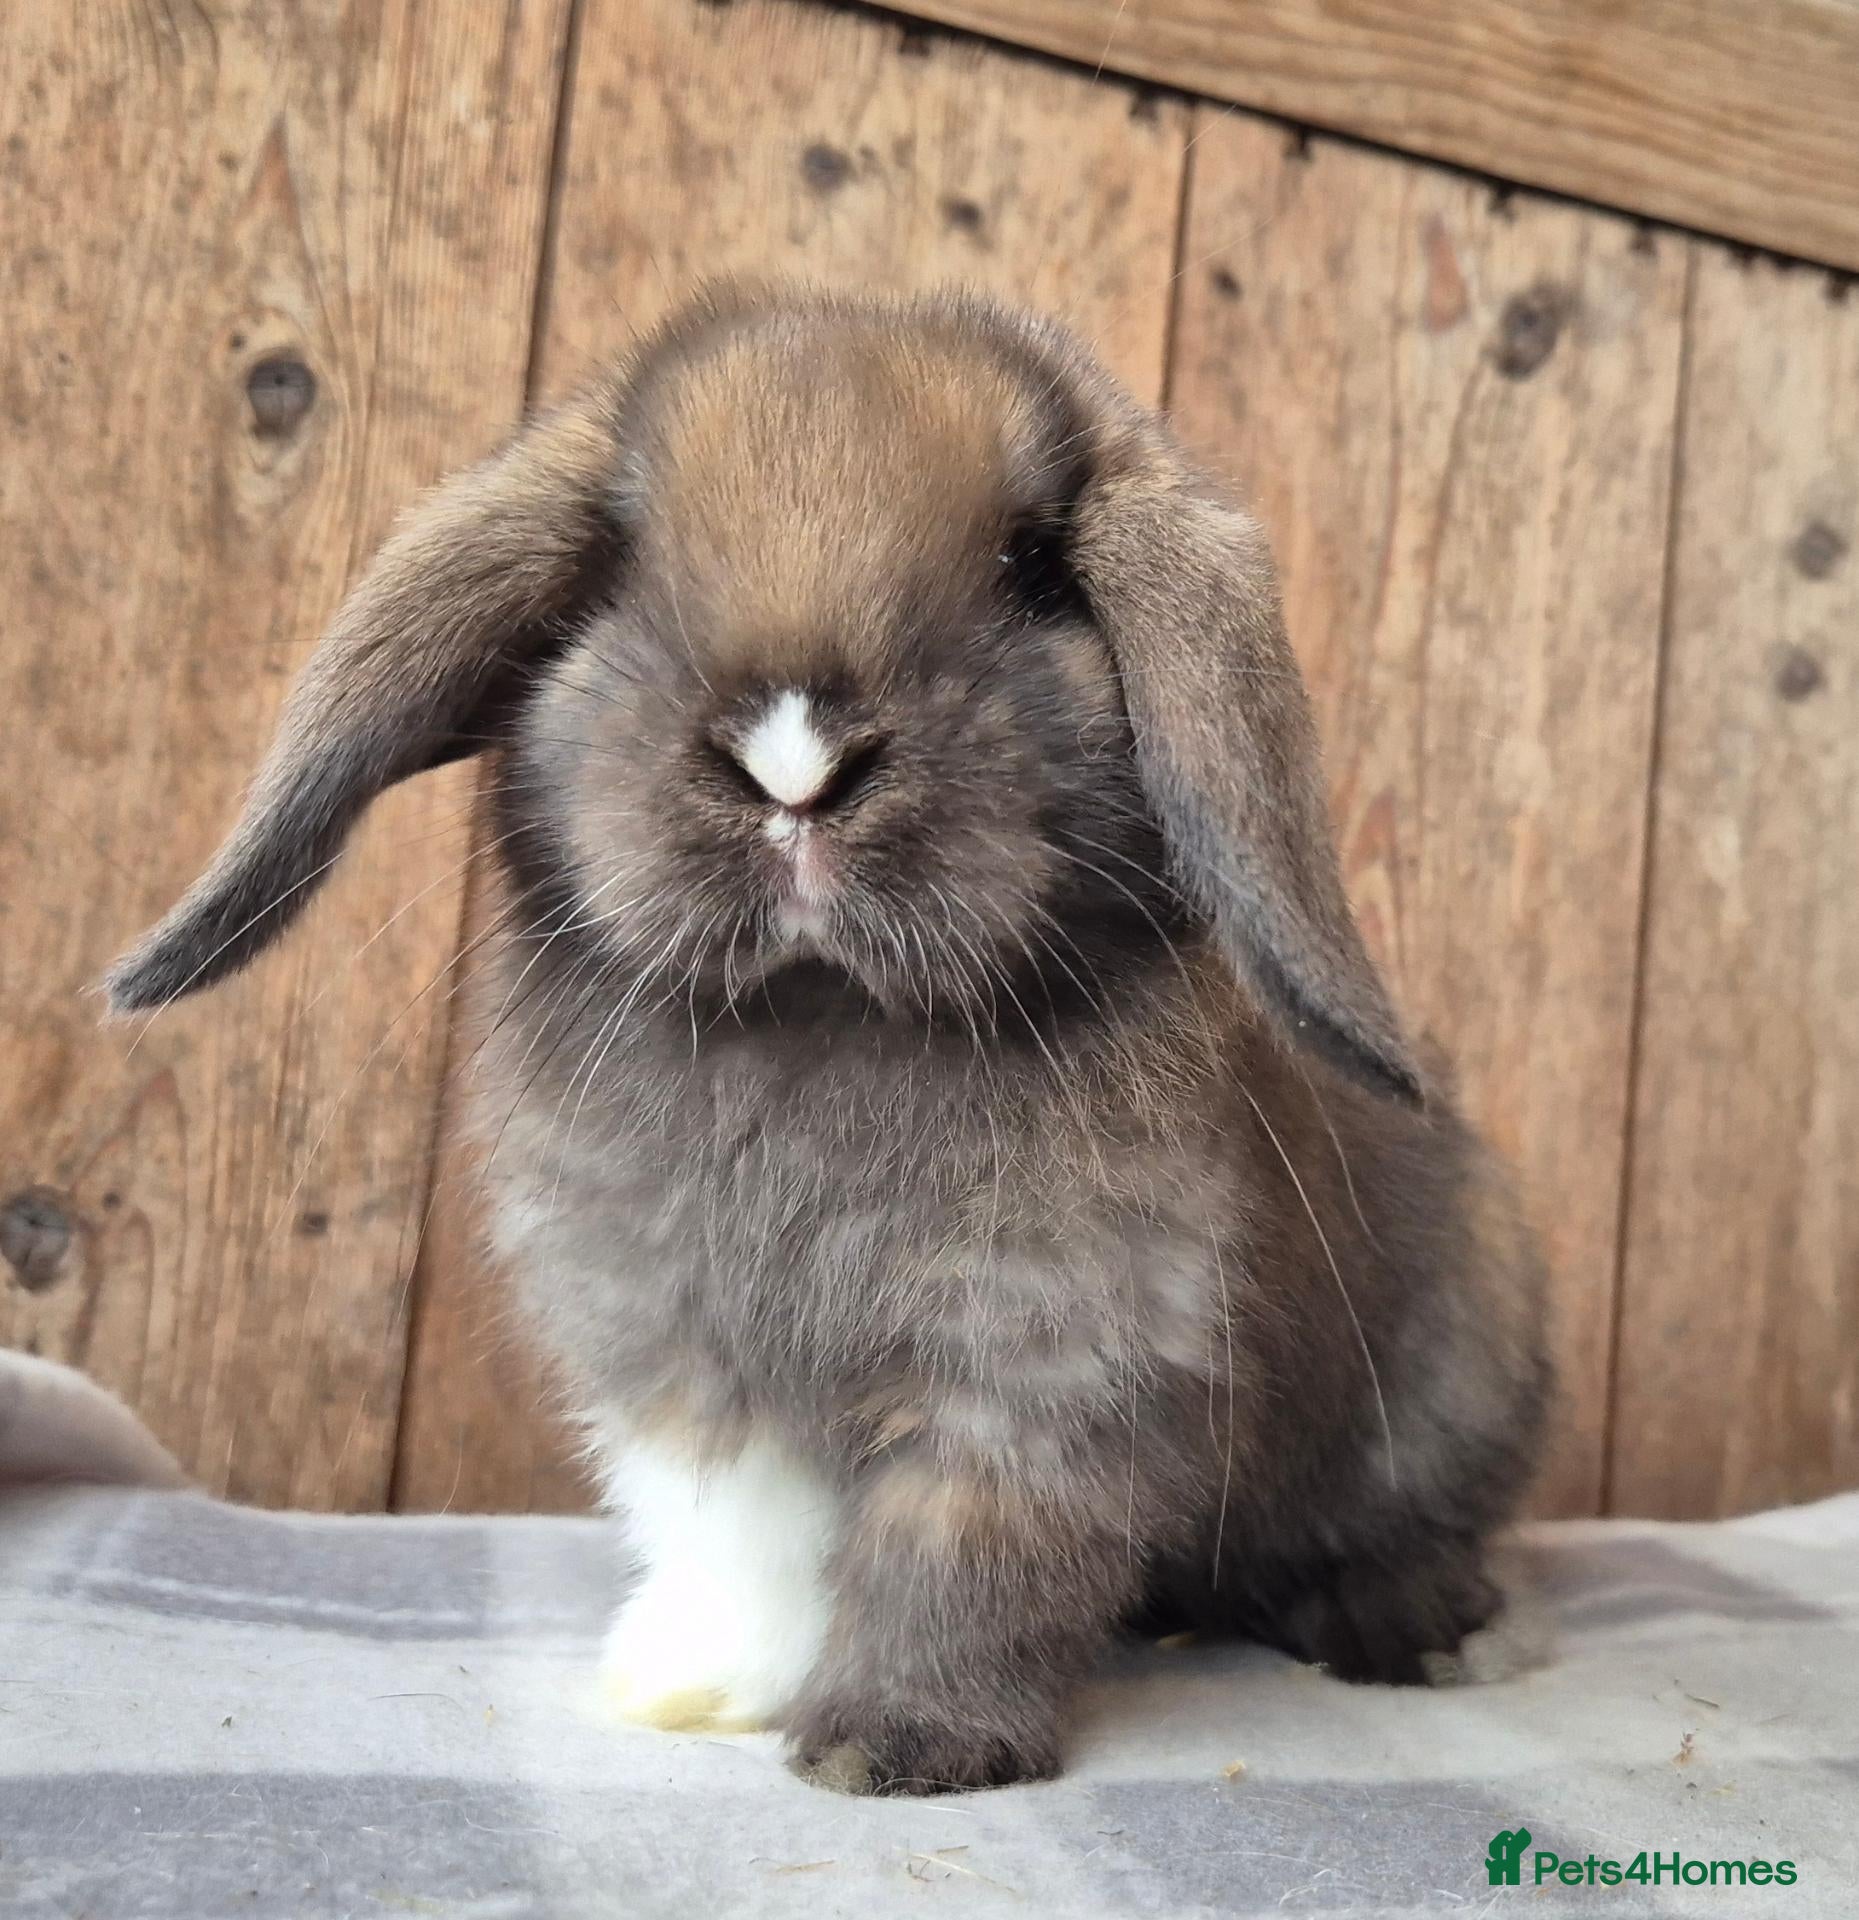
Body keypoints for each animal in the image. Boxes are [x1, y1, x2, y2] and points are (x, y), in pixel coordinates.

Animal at [107, 283, 1551, 1794]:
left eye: (1034, 566)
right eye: (615, 561)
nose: (790, 765)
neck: (823, 1013)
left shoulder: (1043, 1359)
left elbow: (962, 1550)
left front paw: (896, 1745)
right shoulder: (680, 1361)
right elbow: (742, 1537)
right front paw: (702, 1686)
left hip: (1451, 1380)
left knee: (1405, 1533)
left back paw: (1414, 1632)